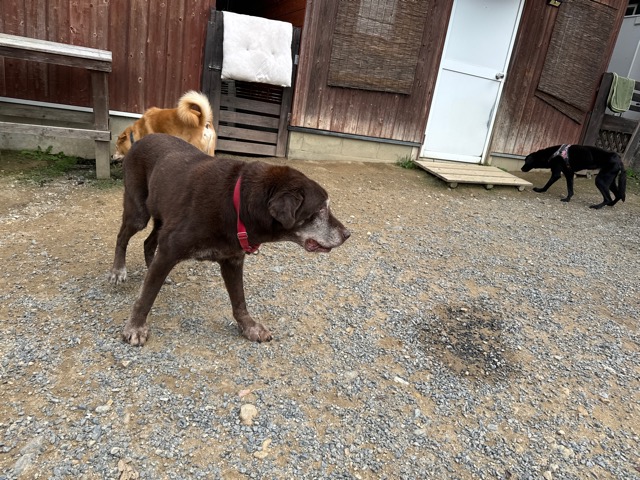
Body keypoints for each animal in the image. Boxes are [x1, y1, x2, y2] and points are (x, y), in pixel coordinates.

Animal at [109, 134, 351, 346]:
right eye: (321, 209)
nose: (347, 234)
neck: (237, 207)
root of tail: (140, 139)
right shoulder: (169, 250)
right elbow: (147, 296)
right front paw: (135, 327)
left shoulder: (232, 261)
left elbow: (239, 300)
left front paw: (250, 327)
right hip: (138, 213)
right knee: (123, 237)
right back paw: (118, 271)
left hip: (161, 218)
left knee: (148, 243)